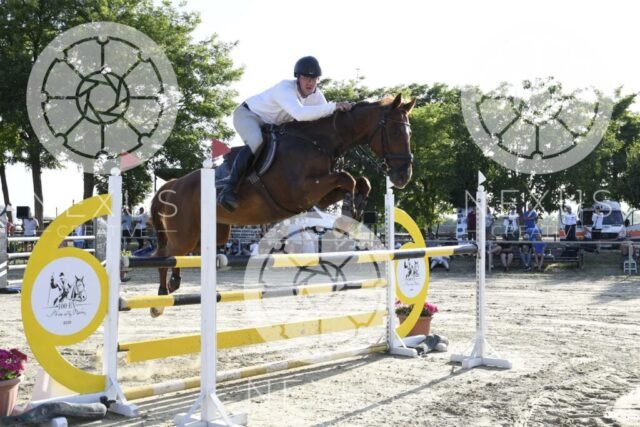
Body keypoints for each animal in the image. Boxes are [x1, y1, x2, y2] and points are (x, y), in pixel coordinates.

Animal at [149, 94, 416, 316]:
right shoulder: (301, 191)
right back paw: (159, 300)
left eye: (409, 134)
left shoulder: (320, 196)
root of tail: (173, 183)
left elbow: (360, 181)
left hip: (210, 234)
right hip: (185, 232)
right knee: (162, 254)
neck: (319, 141)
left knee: (177, 255)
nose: (403, 176)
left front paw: (355, 210)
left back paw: (173, 284)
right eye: (395, 132)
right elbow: (347, 178)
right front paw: (348, 215)